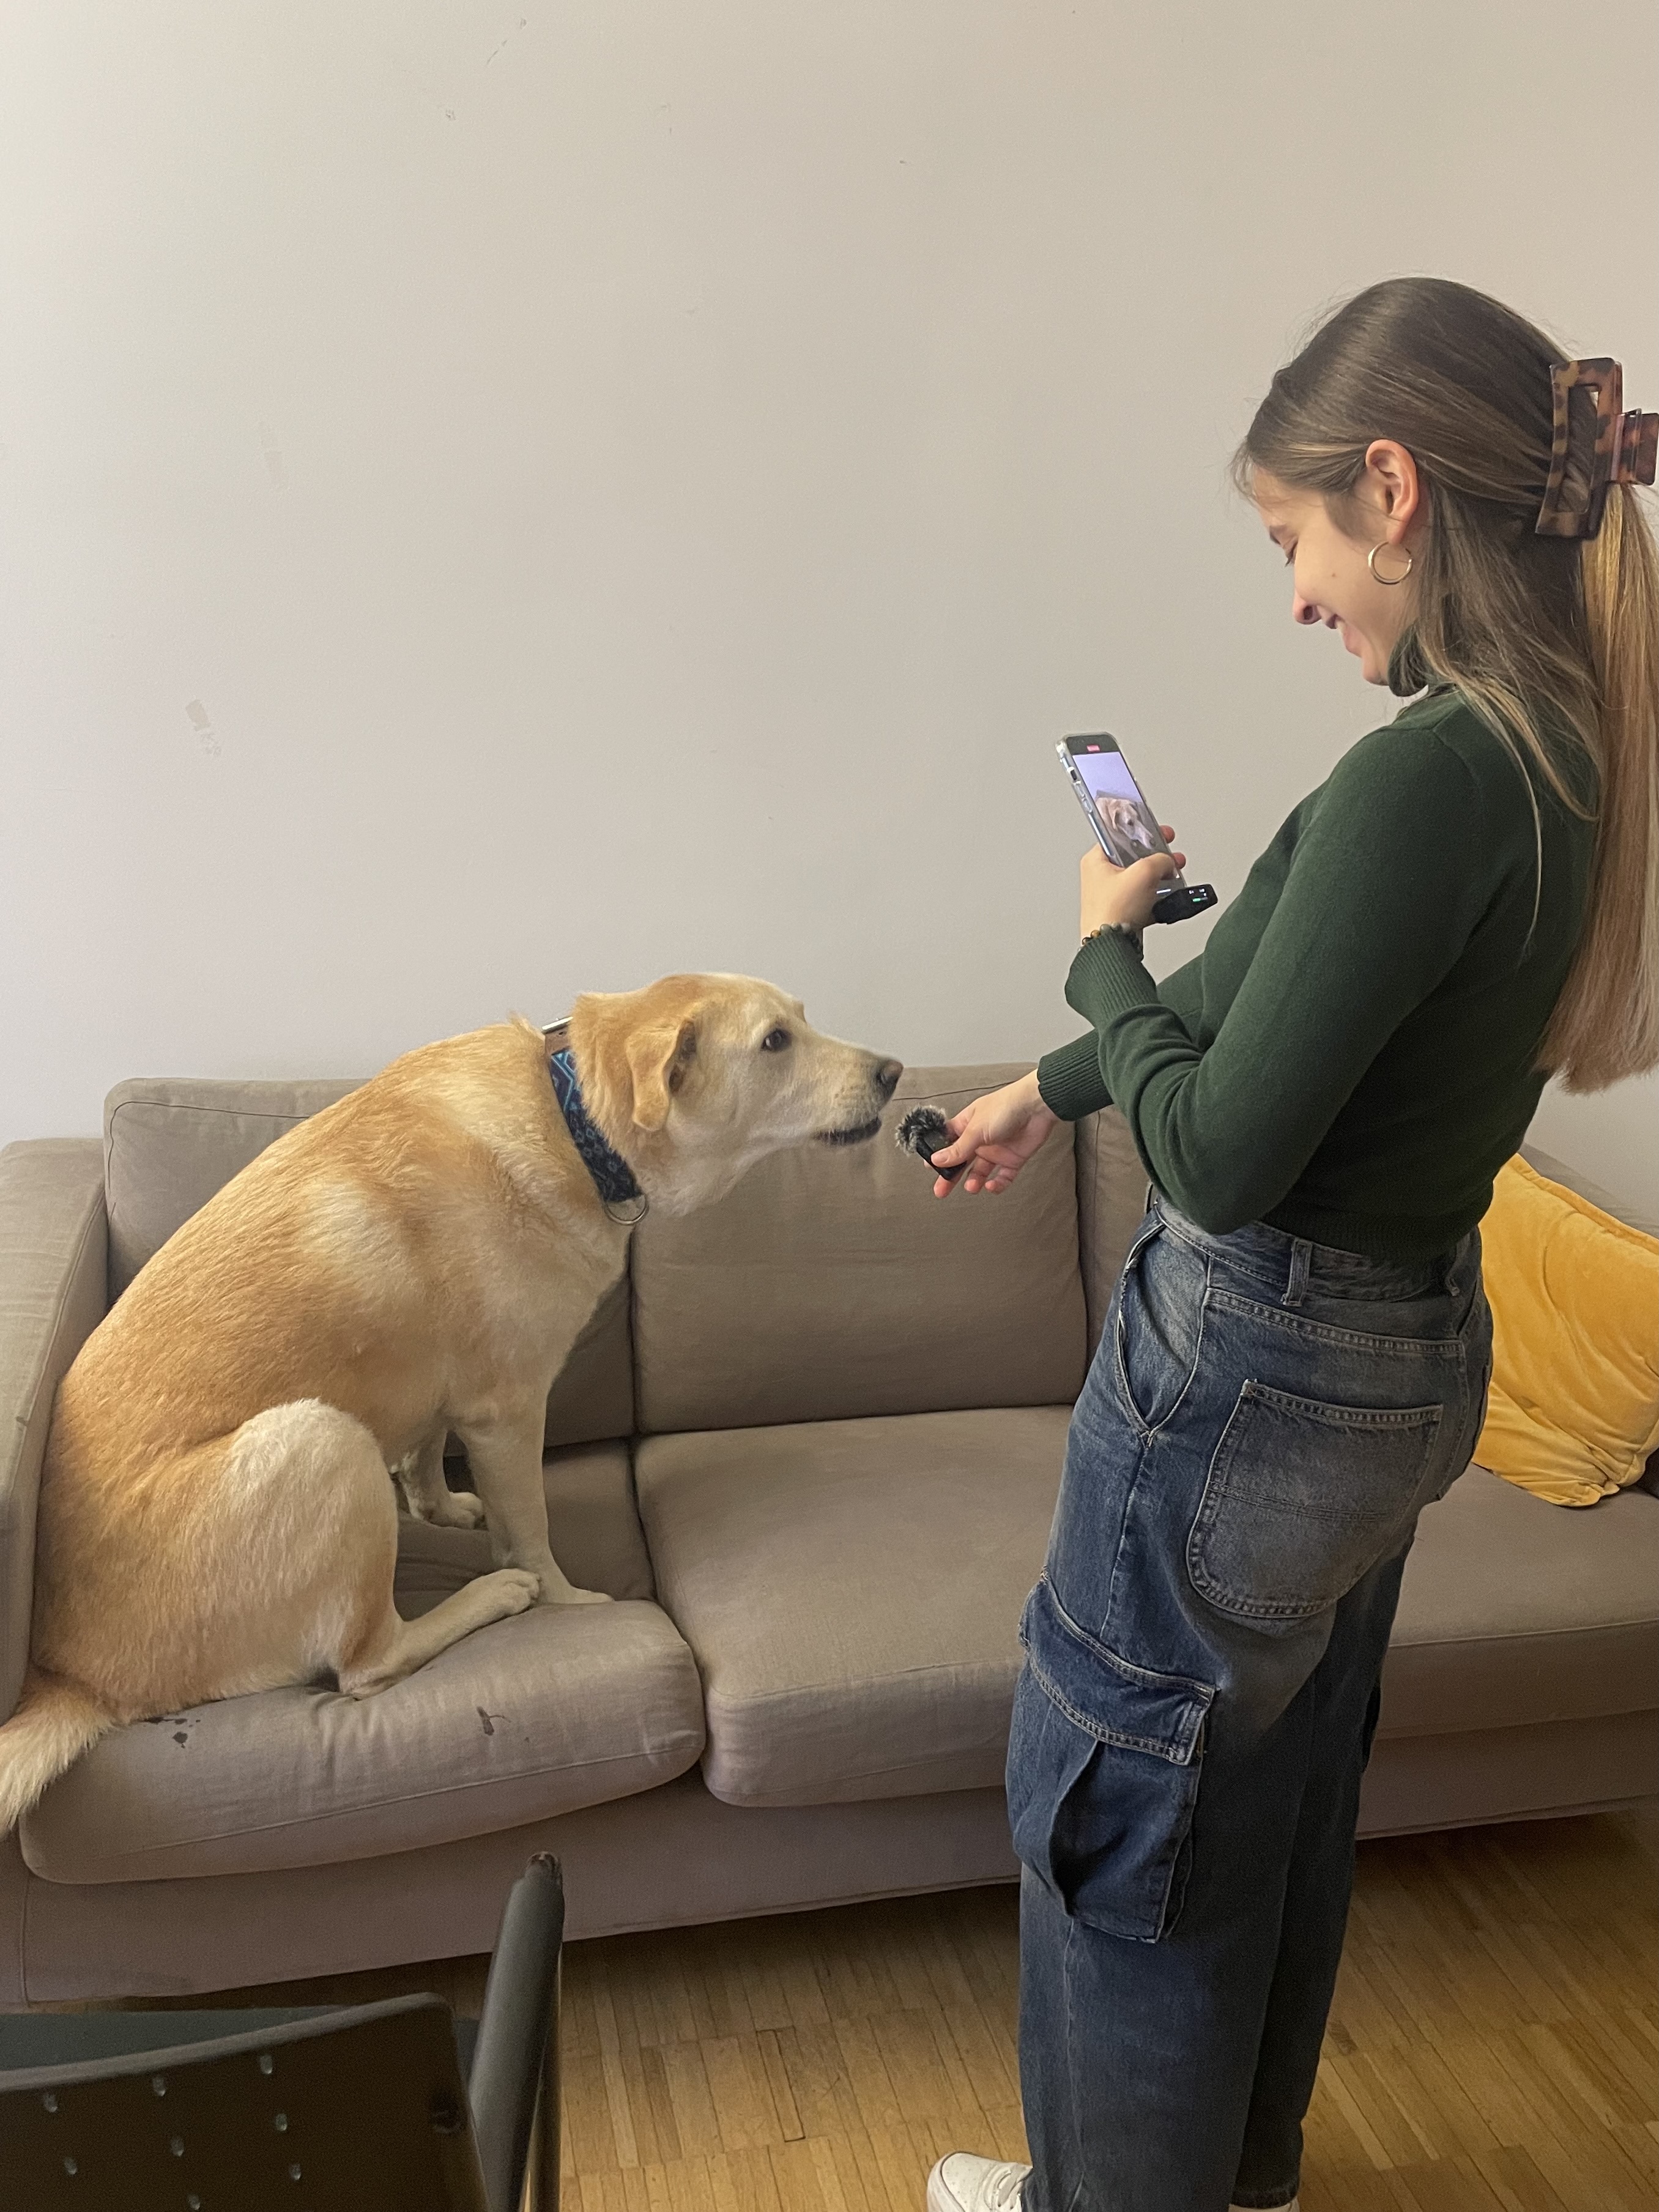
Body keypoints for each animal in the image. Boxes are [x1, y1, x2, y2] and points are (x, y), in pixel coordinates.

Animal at [0, 978, 902, 1822]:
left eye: (803, 1019)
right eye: (775, 1041)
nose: (895, 1073)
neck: (573, 1120)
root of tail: (70, 1681)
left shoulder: (440, 1382)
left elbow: (426, 1447)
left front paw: (438, 1507)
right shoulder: (508, 1411)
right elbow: (530, 1531)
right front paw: (563, 1598)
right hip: (322, 1440)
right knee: (368, 1663)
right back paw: (491, 1597)